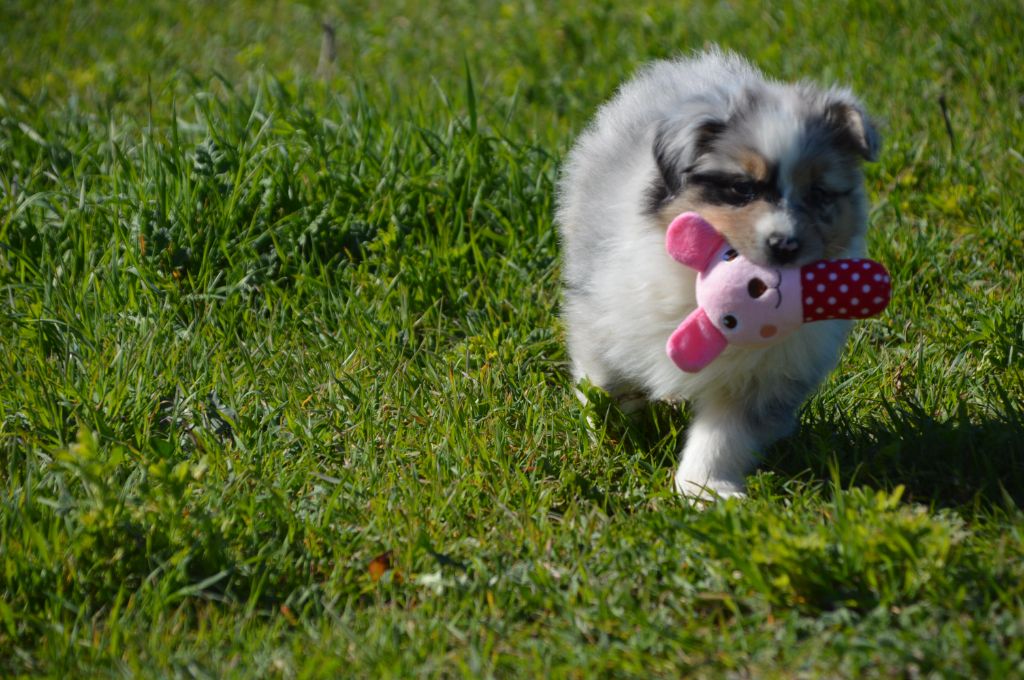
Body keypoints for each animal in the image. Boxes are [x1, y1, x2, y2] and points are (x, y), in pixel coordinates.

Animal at [556, 48, 880, 499]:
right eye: (742, 188)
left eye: (818, 194)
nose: (785, 245)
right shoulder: (607, 310)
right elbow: (603, 382)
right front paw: (611, 441)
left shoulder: (763, 379)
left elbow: (725, 434)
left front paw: (705, 490)